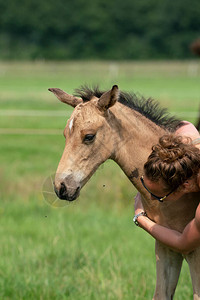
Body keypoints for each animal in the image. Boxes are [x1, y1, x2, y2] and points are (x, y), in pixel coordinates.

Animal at [49, 85, 200, 298]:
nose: (61, 187)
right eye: (65, 134)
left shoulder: (195, 253)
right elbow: (160, 294)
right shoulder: (167, 246)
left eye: (89, 136)